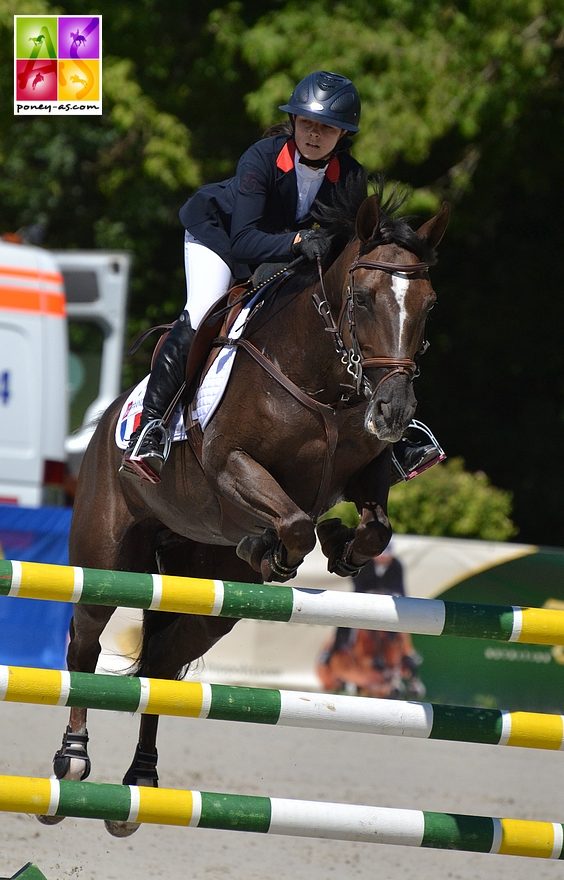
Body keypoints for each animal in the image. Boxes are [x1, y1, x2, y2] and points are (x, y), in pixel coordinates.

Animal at [39, 179, 450, 840]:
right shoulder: (230, 463)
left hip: (208, 595)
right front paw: (279, 548)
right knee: (84, 642)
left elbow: (373, 527)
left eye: (429, 305)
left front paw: (335, 546)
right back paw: (72, 762)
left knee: (161, 665)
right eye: (362, 298)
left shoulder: (364, 475)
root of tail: (103, 425)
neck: (326, 383)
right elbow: (295, 521)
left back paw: (141, 782)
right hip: (108, 557)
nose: (392, 411)